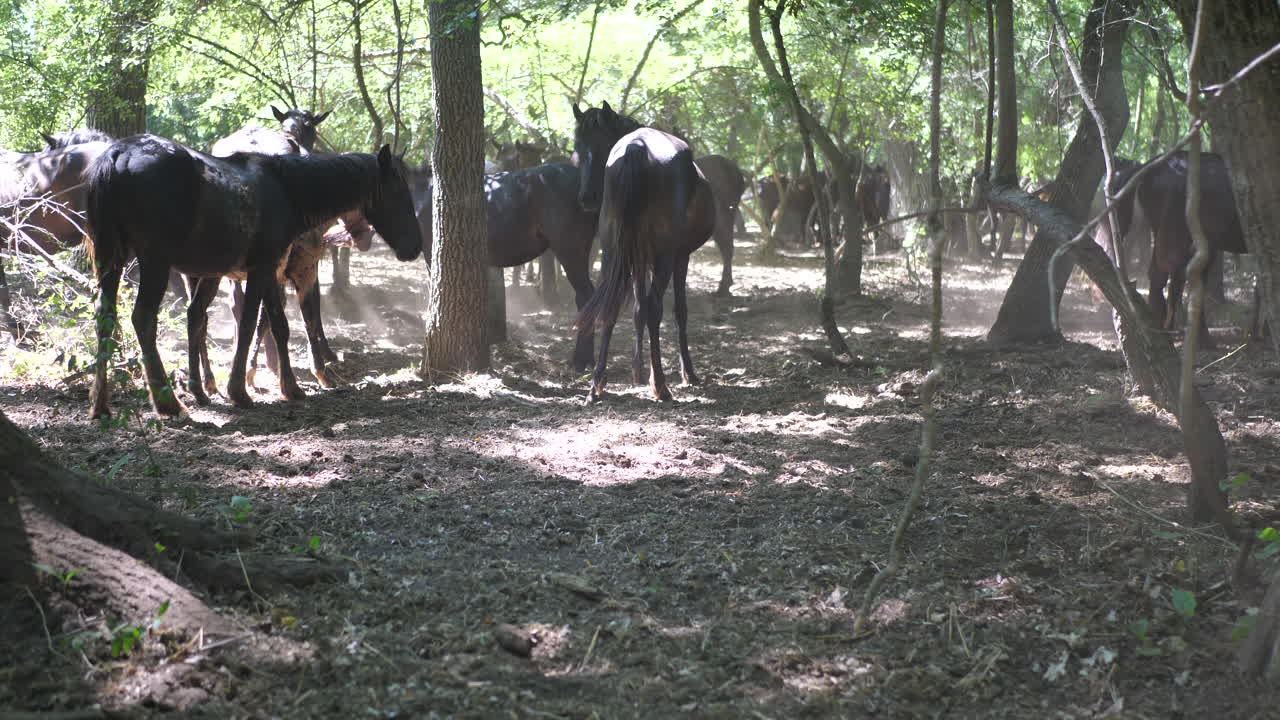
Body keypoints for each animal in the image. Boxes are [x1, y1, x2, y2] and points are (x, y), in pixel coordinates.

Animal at [85, 134, 421, 419]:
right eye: (398, 192)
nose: (415, 247)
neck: (287, 190)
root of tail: (118, 154)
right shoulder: (263, 270)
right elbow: (248, 324)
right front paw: (239, 391)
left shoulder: (270, 270)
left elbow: (278, 325)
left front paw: (290, 387)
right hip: (155, 261)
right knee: (144, 318)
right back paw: (170, 404)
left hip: (112, 258)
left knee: (108, 317)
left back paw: (102, 405)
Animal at [571, 101, 716, 403]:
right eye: (578, 147)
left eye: (596, 145)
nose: (586, 197)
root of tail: (635, 148)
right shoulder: (679, 256)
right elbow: (678, 311)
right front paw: (688, 373)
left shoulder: (637, 258)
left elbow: (637, 308)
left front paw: (636, 371)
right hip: (664, 258)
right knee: (654, 308)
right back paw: (660, 385)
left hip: (613, 253)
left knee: (613, 306)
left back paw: (597, 384)